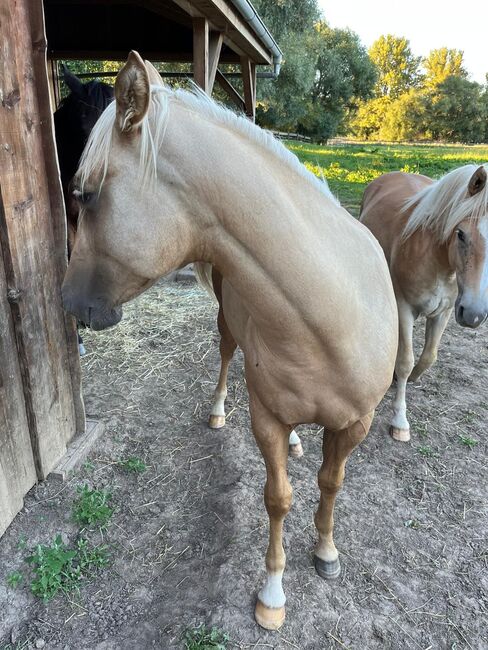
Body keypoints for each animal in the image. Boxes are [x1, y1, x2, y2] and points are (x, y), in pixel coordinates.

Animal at [62, 50, 396, 628]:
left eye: (87, 194)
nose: (63, 300)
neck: (331, 316)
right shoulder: (267, 419)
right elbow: (278, 497)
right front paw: (273, 594)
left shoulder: (357, 423)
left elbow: (331, 483)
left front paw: (327, 552)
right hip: (225, 328)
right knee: (222, 359)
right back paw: (220, 411)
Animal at [358, 167, 488, 440]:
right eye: (461, 233)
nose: (474, 314)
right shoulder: (404, 307)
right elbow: (405, 361)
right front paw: (400, 421)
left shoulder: (445, 312)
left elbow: (429, 357)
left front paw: (412, 378)